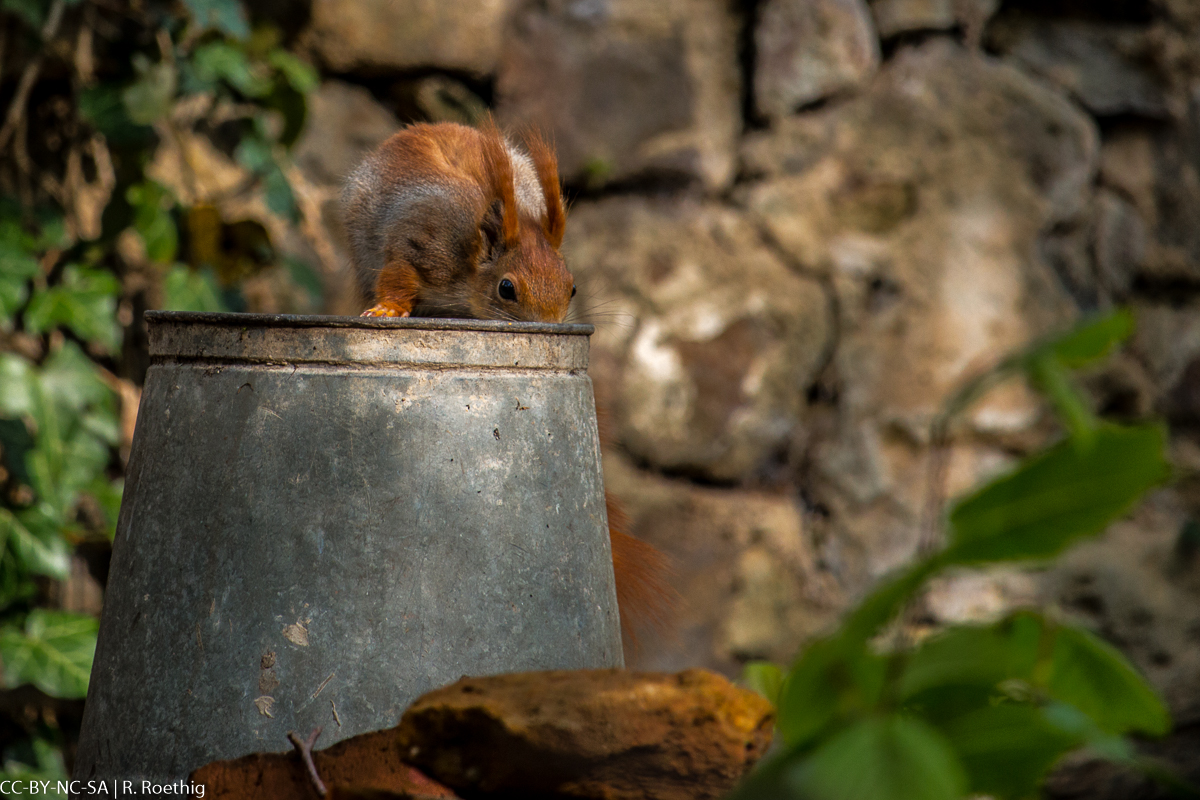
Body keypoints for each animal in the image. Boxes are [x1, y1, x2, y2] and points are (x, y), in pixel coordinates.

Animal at [345, 120, 676, 642]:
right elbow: (397, 274)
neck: (472, 265)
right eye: (507, 289)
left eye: (573, 287)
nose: (552, 327)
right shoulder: (423, 250)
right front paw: (387, 310)